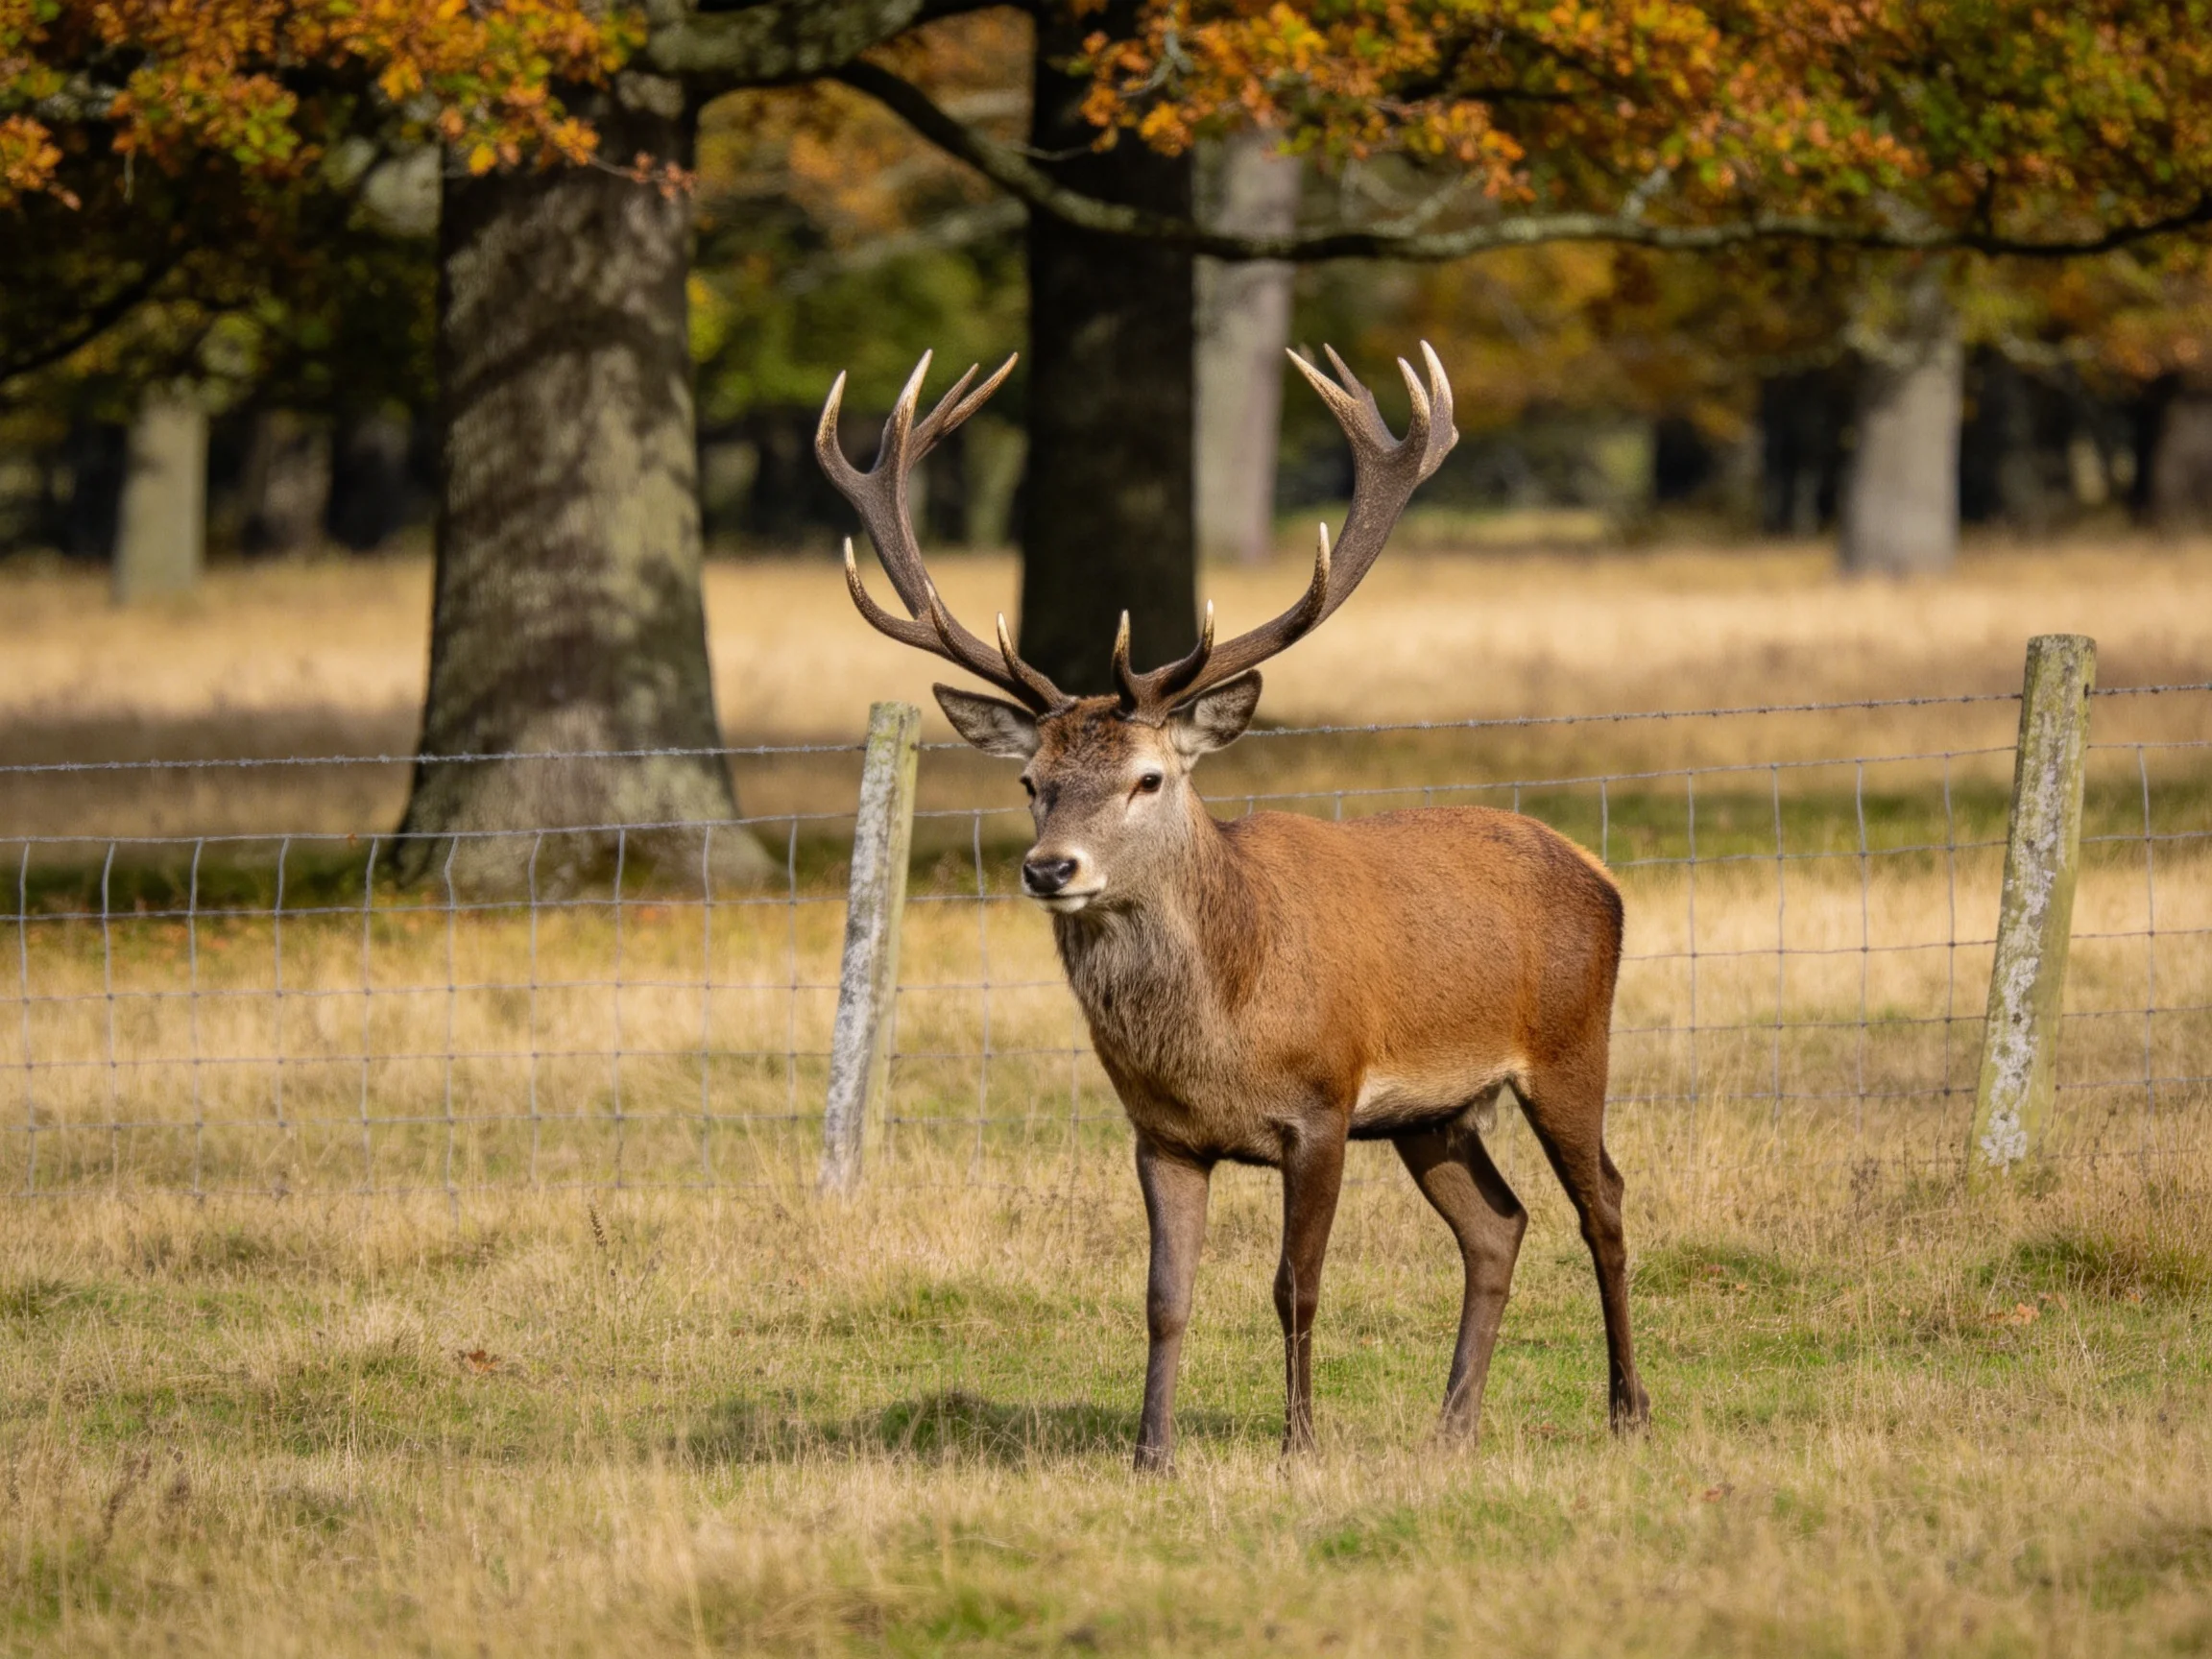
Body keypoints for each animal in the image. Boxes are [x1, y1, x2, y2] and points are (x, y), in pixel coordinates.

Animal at [816, 342, 1647, 1471]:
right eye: (1031, 781)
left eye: (1149, 779)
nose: (1050, 869)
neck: (1222, 1032)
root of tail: (1598, 870)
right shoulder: (1160, 1133)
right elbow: (1165, 1297)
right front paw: (1150, 1454)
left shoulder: (1325, 1104)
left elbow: (1296, 1287)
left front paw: (1300, 1445)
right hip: (1434, 1113)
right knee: (1498, 1224)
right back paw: (1451, 1428)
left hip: (1569, 1043)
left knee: (1603, 1202)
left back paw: (1627, 1409)